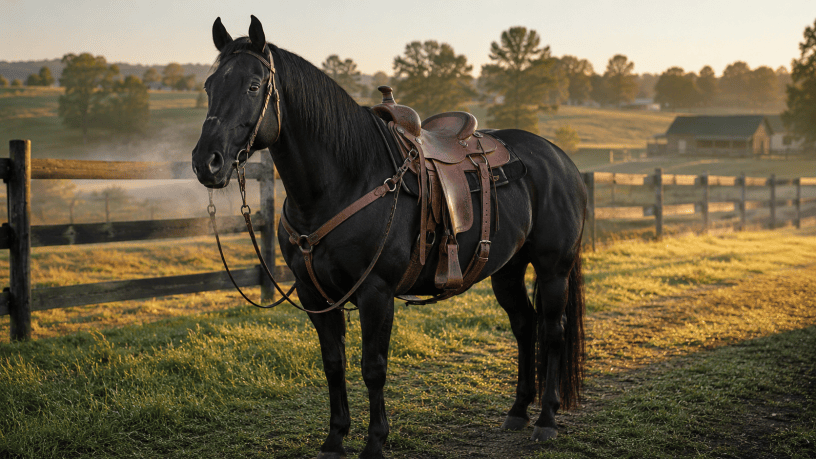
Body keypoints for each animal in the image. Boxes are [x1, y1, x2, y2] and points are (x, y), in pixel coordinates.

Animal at [192, 15, 587, 459]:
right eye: (209, 85)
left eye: (254, 86)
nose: (207, 162)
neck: (343, 180)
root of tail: (559, 157)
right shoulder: (314, 295)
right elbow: (334, 364)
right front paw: (334, 439)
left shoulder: (375, 292)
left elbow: (373, 367)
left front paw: (374, 442)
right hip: (507, 269)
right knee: (524, 324)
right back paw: (518, 411)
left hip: (553, 269)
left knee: (552, 330)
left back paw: (546, 419)